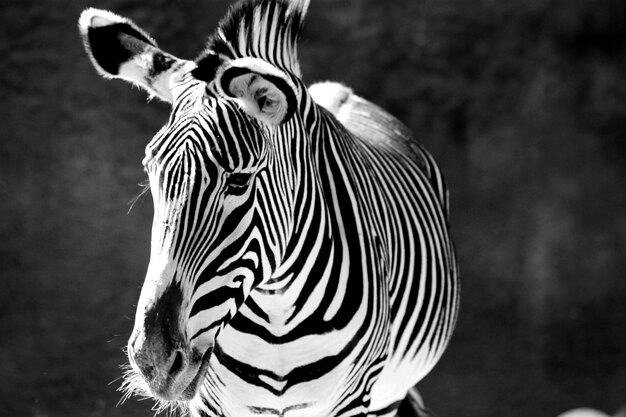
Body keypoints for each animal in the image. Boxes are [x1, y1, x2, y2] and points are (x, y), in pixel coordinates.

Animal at [78, 0, 458, 414]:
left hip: (386, 396)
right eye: (152, 173)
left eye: (239, 182)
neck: (277, 323)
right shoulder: (212, 404)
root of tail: (339, 90)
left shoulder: (353, 399)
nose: (154, 361)